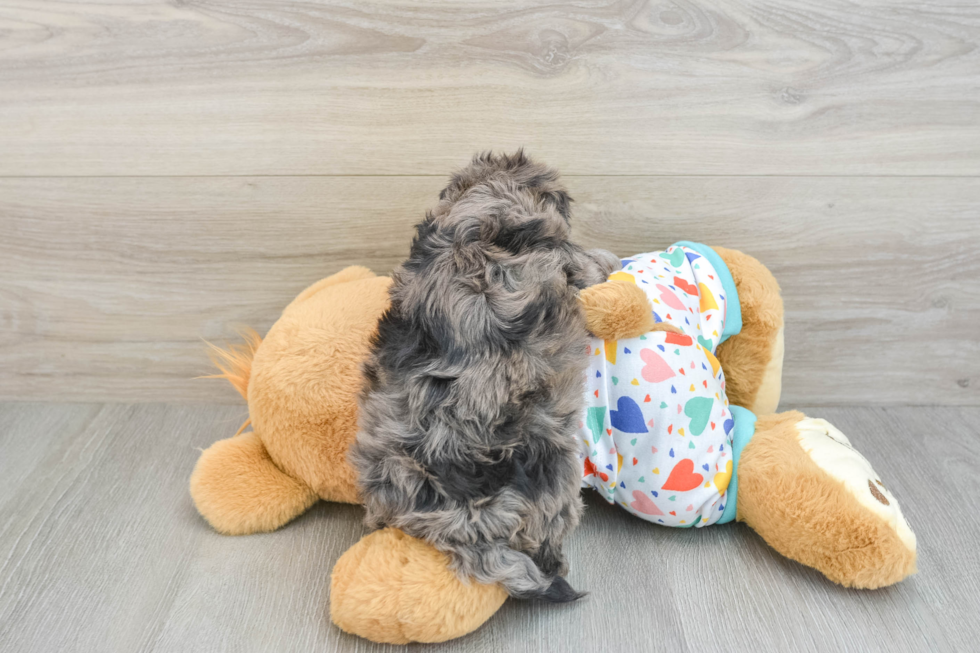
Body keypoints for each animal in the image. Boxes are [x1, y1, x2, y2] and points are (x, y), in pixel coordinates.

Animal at [348, 149, 616, 600]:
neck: (475, 221)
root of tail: (462, 514)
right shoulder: (568, 256)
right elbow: (589, 264)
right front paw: (610, 263)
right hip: (557, 470)